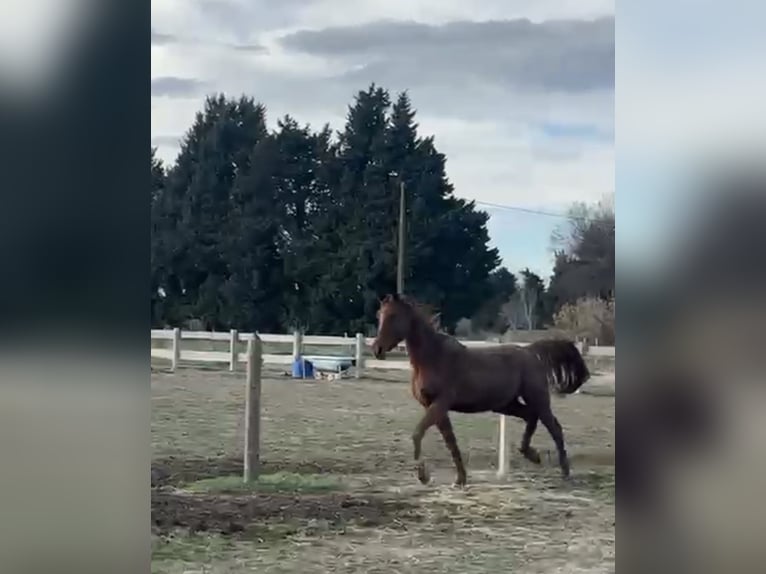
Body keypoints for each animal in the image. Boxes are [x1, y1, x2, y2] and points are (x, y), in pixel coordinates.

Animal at [370, 293, 591, 486]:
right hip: (506, 405)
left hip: (537, 398)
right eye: (379, 315)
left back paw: (564, 472)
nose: (377, 349)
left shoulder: (440, 404)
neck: (432, 358)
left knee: (554, 428)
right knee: (531, 417)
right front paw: (460, 479)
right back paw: (532, 455)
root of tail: (529, 351)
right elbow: (450, 441)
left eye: (393, 315)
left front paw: (424, 476)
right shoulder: (433, 407)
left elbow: (418, 434)